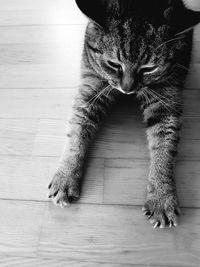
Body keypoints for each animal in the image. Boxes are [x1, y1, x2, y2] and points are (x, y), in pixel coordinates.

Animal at [47, 0, 200, 230]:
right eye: (113, 64)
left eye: (149, 68)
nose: (127, 89)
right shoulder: (91, 88)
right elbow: (76, 132)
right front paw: (66, 176)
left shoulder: (166, 100)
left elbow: (165, 147)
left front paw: (162, 197)